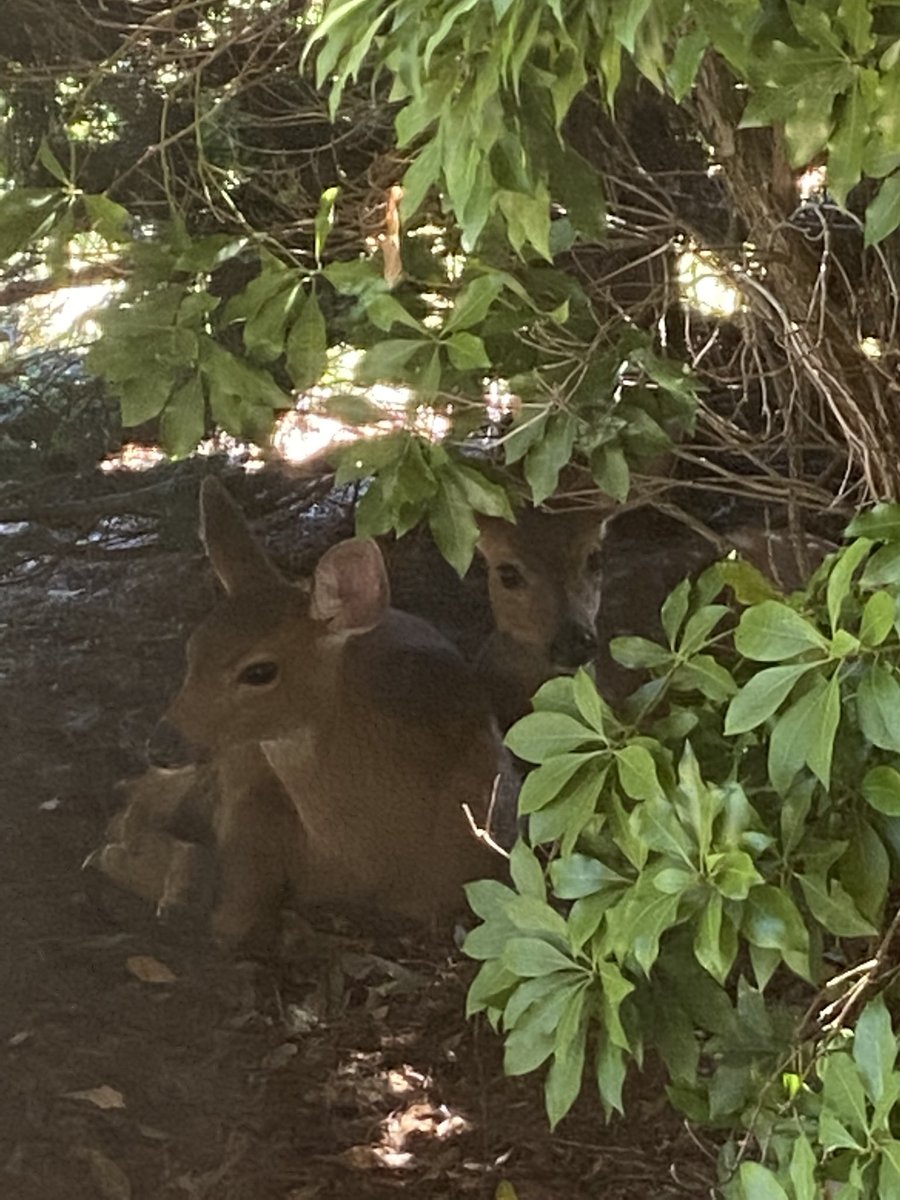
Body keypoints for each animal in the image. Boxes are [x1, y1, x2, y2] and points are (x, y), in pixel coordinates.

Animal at [96, 477, 513, 945]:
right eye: (192, 651)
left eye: (260, 671)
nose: (161, 744)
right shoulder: (250, 804)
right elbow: (228, 914)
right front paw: (147, 869)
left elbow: (229, 916)